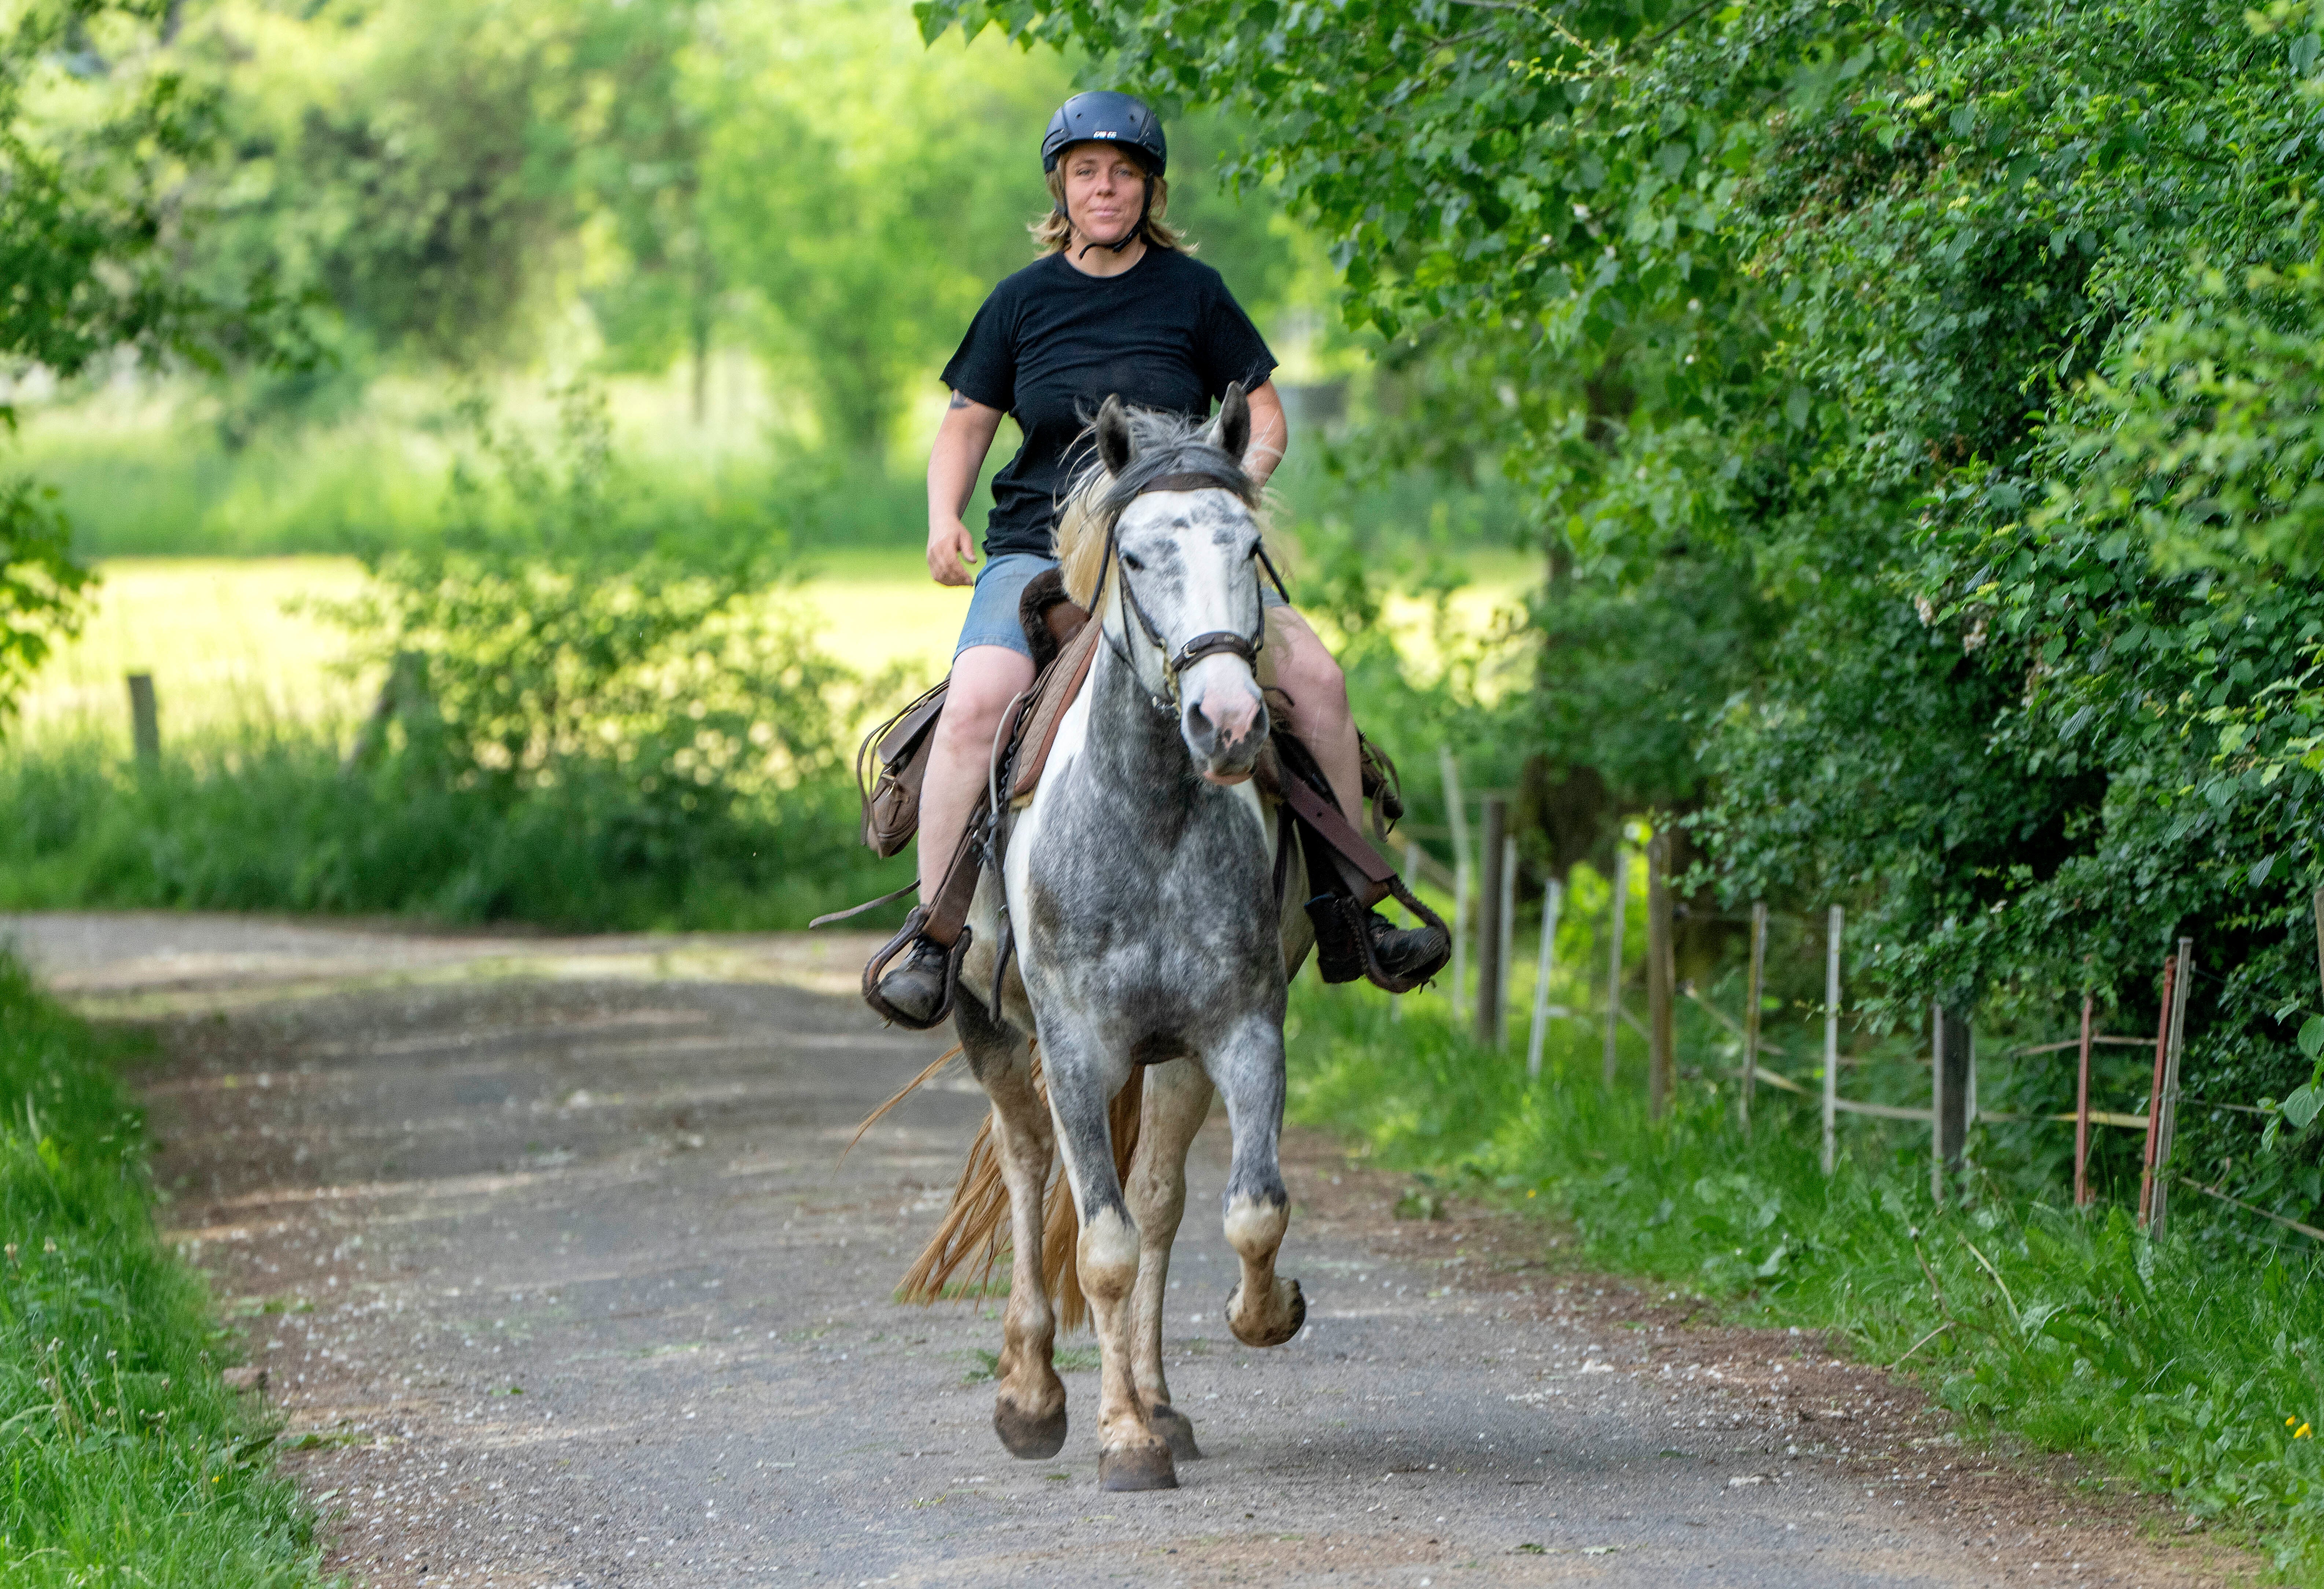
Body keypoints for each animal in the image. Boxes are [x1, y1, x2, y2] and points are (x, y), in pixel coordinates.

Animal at [895, 384, 1316, 1492]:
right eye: (1132, 555)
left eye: (1247, 543)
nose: (1229, 721)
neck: (1153, 814)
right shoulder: (1078, 1047)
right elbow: (1101, 1246)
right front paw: (1117, 1436)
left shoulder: (1244, 1031)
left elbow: (1248, 1209)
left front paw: (1263, 1314)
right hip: (996, 1031)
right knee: (1030, 1167)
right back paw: (1033, 1393)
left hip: (1172, 1060)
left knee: (1162, 1197)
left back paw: (1161, 1399)